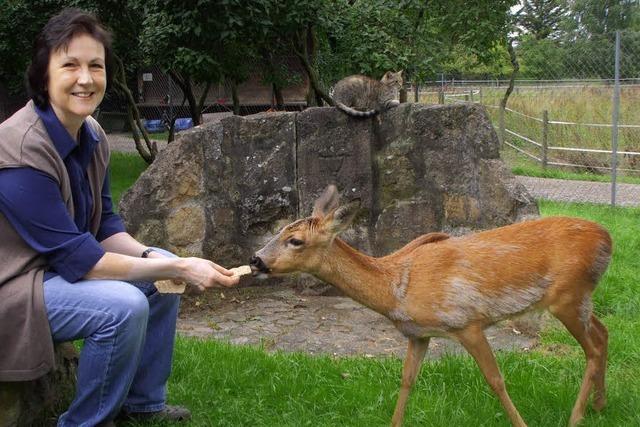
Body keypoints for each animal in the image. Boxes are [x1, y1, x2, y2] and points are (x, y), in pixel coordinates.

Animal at [249, 186, 608, 426]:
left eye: (296, 240)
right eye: (280, 230)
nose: (256, 260)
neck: (396, 288)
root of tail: (608, 238)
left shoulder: (467, 322)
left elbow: (495, 380)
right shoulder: (418, 334)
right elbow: (407, 380)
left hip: (567, 296)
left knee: (591, 349)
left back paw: (576, 417)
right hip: (579, 298)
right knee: (603, 333)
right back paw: (599, 406)